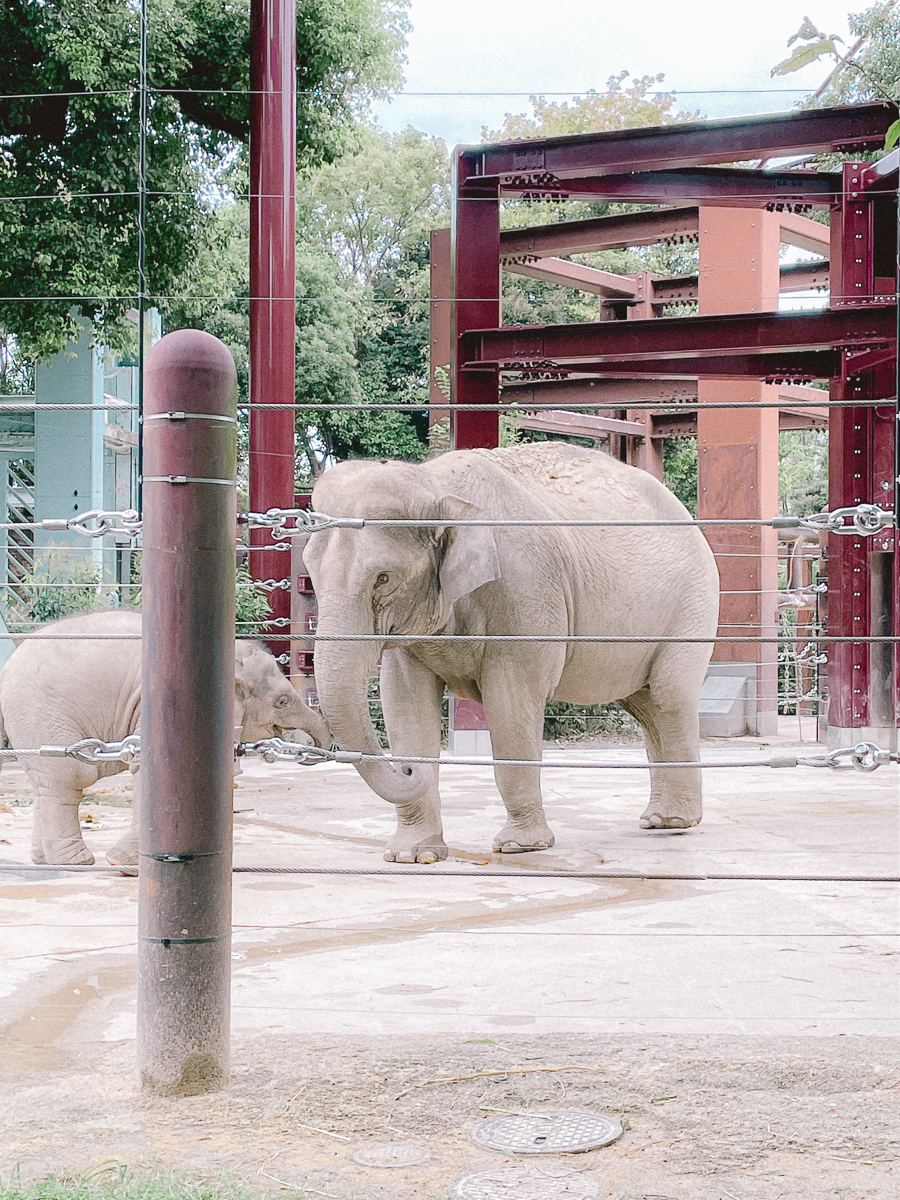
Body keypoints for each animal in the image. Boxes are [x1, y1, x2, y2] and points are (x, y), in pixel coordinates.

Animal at [0, 609, 331, 864]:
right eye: (282, 701)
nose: (310, 749)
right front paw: (124, 864)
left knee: (46, 784)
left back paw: (47, 860)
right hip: (42, 714)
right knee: (70, 778)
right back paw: (77, 862)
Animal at [307, 441, 724, 864]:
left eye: (383, 578)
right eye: (309, 571)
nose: (407, 770)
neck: (434, 484)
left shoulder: (525, 591)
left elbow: (511, 701)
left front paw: (519, 846)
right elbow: (405, 701)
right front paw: (412, 855)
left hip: (694, 603)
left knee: (670, 697)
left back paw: (673, 822)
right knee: (646, 705)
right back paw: (659, 820)